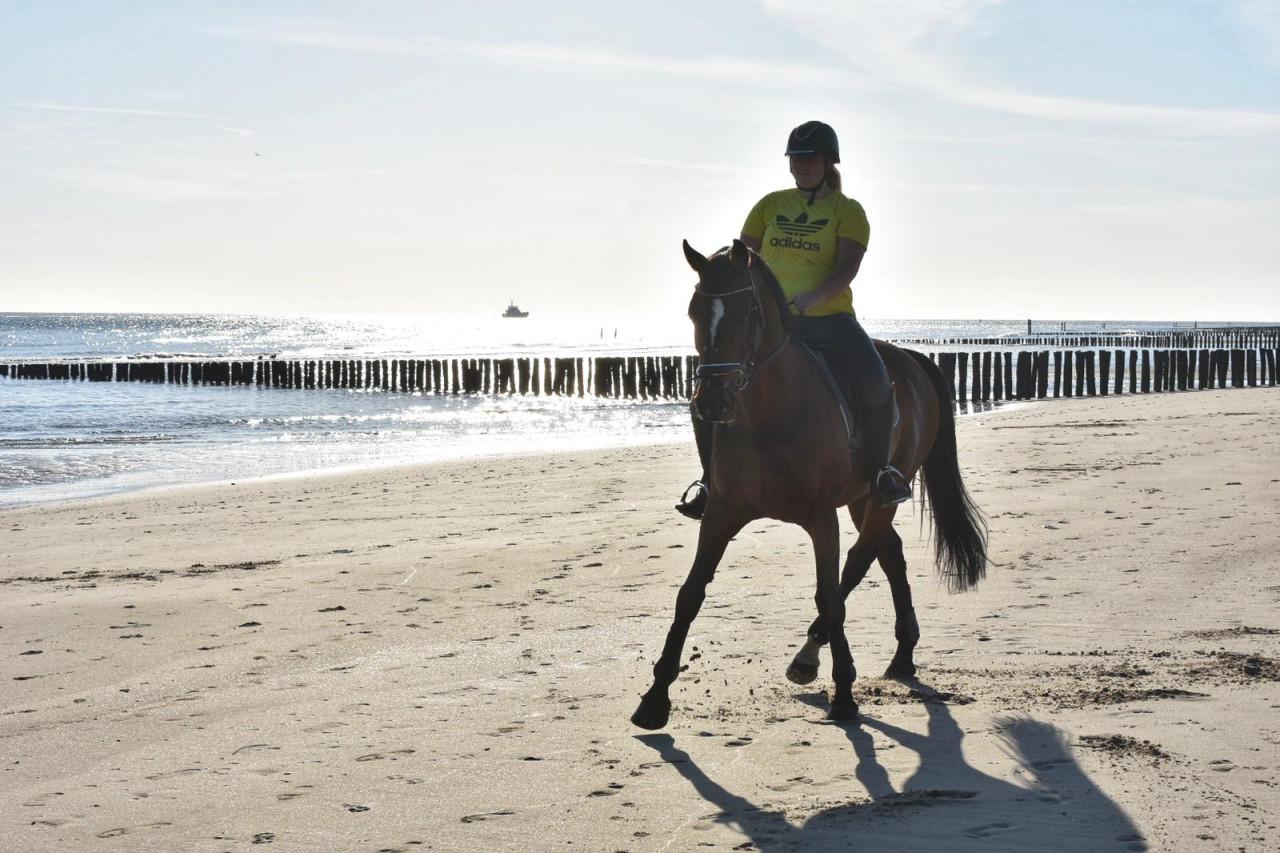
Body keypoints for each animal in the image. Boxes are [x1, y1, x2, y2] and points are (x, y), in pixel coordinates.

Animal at [630, 239, 987, 729]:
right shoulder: (722, 513)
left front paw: (844, 695)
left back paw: (811, 657)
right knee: (889, 554)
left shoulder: (821, 519)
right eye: (693, 312)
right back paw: (901, 654)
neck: (769, 415)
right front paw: (654, 698)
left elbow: (830, 595)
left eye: (749, 312)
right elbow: (690, 595)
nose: (713, 401)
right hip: (861, 499)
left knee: (859, 561)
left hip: (882, 495)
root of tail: (910, 357)